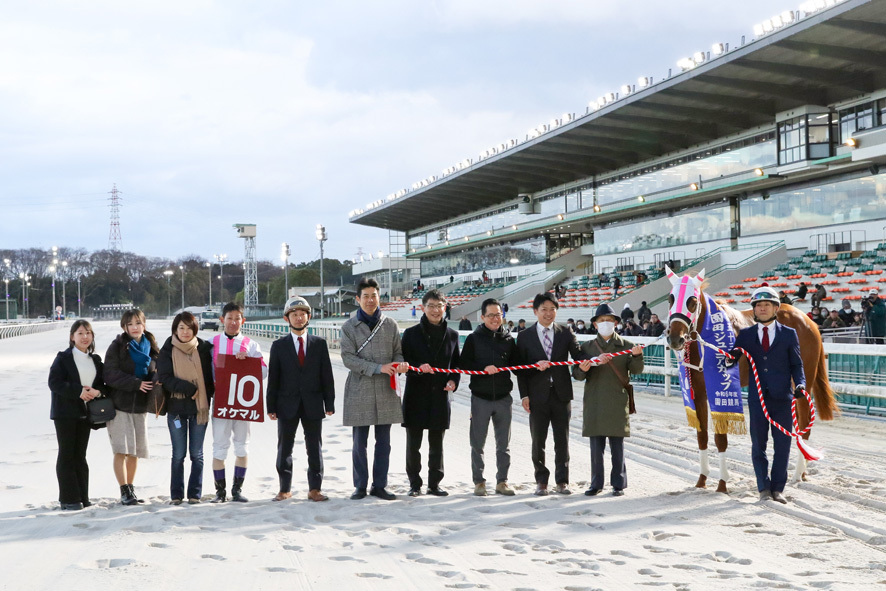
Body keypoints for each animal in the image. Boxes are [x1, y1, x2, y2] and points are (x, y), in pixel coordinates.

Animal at [664, 268, 840, 494]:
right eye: (670, 298)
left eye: (692, 300)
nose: (675, 338)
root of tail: (808, 321)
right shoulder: (698, 392)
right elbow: (702, 435)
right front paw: (701, 480)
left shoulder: (719, 391)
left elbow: (720, 438)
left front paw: (722, 484)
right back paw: (802, 472)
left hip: (804, 383)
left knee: (805, 425)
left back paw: (797, 474)